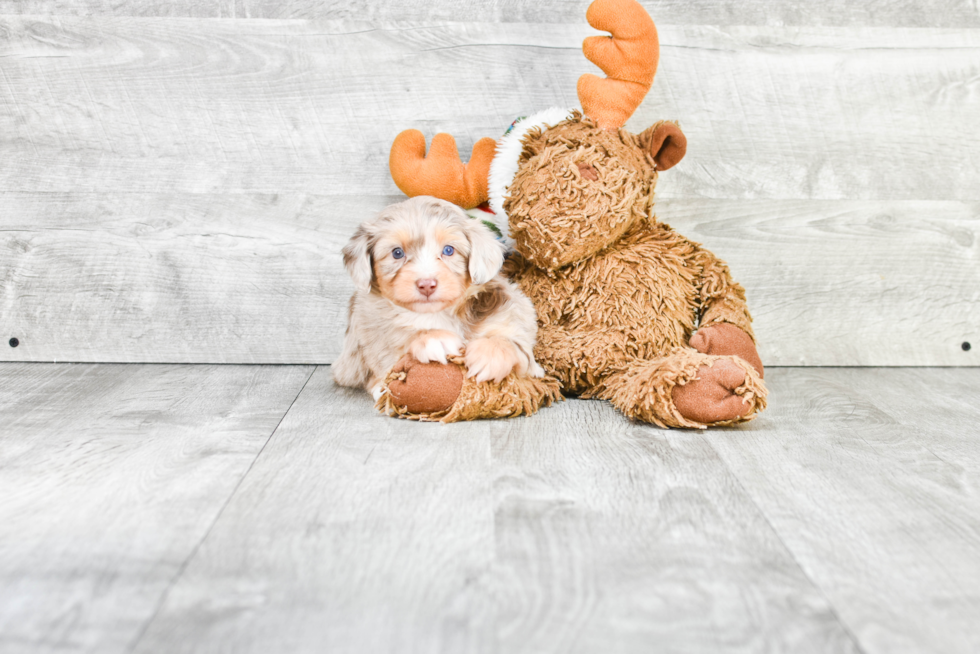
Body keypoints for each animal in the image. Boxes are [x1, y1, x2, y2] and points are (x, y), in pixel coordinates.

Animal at [334, 195, 540, 402]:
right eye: (397, 253)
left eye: (448, 250)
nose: (426, 284)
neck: (438, 313)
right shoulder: (371, 324)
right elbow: (396, 339)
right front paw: (432, 338)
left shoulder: (510, 310)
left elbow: (515, 341)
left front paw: (490, 353)